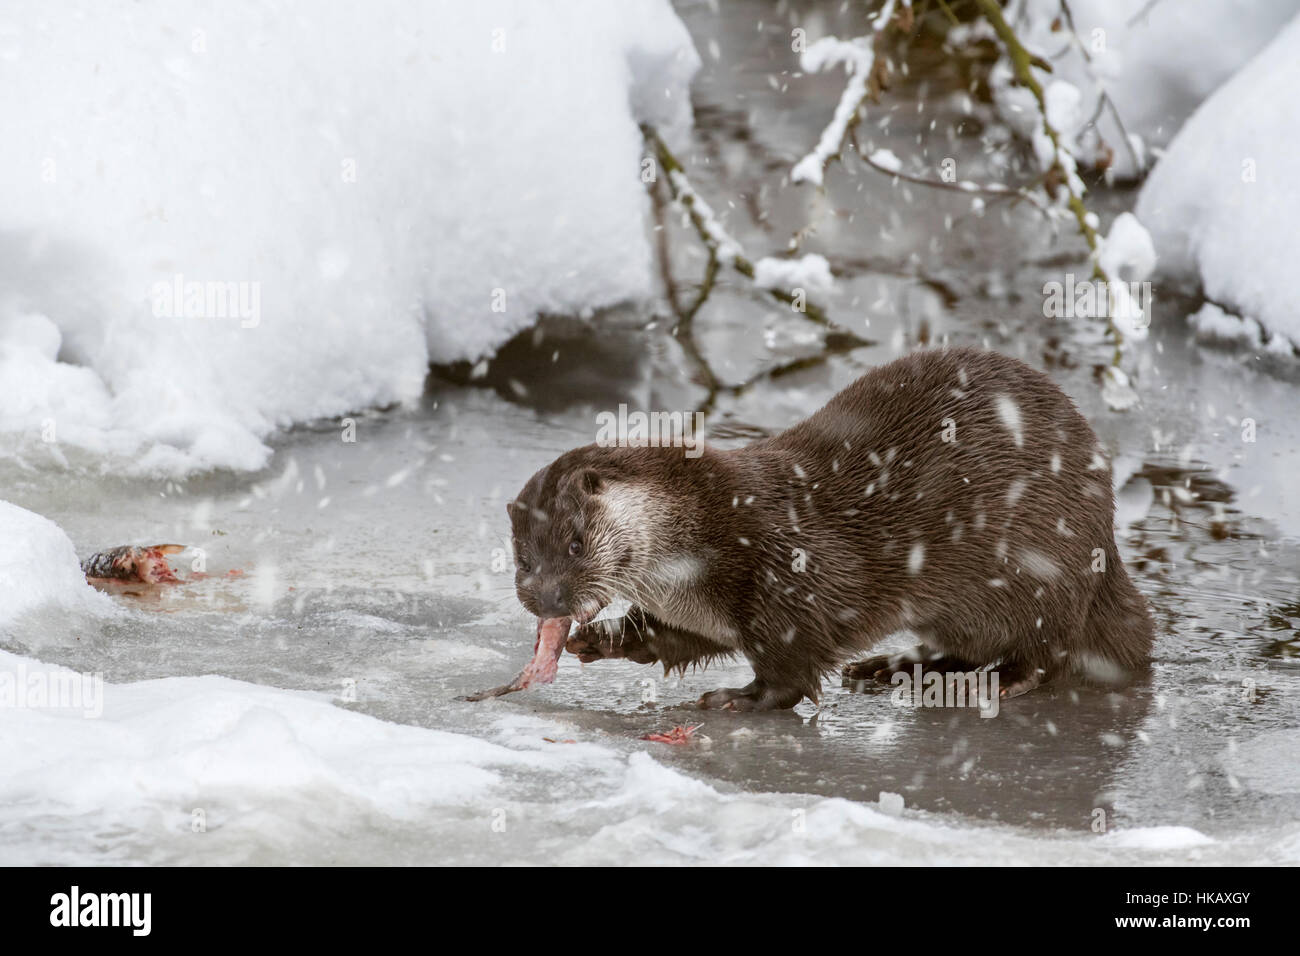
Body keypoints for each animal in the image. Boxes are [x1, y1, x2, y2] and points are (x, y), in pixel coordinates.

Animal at [501, 348, 1154, 707]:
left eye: (575, 544)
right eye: (523, 561)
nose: (547, 599)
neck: (705, 536)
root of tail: (1105, 545)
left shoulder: (792, 572)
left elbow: (792, 668)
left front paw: (739, 698)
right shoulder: (701, 611)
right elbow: (681, 641)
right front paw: (603, 638)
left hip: (1041, 570)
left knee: (1046, 655)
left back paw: (983, 684)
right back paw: (893, 667)